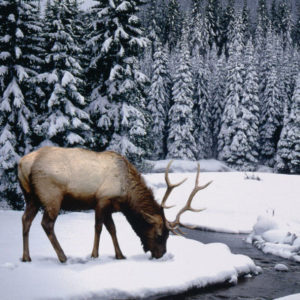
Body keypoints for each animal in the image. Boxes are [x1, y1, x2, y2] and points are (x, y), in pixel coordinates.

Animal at [18, 146, 212, 262]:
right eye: (160, 235)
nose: (161, 254)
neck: (126, 195)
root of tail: (22, 164)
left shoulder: (111, 207)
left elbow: (112, 229)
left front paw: (120, 255)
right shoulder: (102, 199)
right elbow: (98, 227)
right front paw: (94, 254)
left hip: (31, 197)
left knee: (25, 220)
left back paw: (26, 257)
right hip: (52, 196)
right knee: (46, 224)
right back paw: (63, 256)